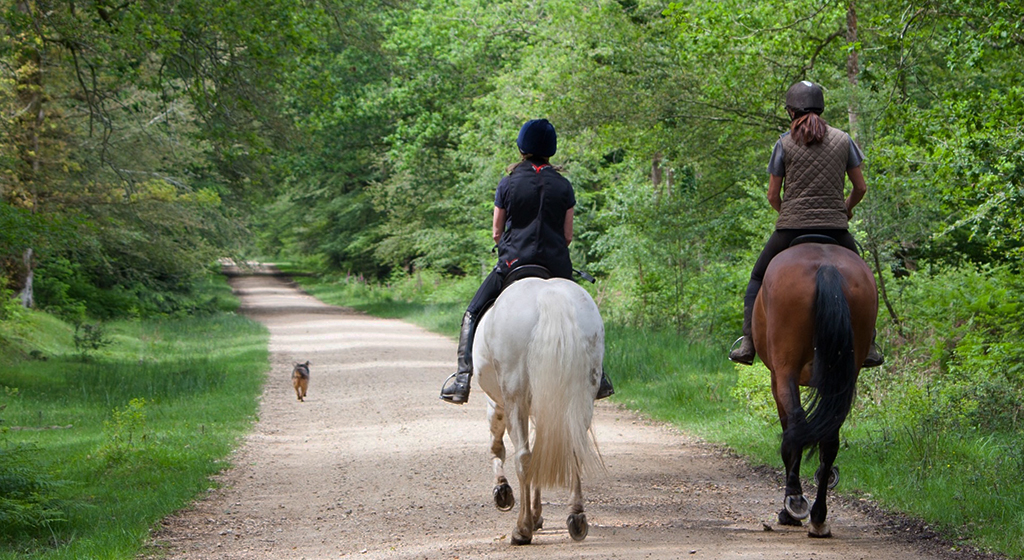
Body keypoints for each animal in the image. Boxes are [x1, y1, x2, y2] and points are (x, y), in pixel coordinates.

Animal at [473, 278, 602, 544]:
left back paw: (522, 529)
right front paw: (536, 513)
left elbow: (496, 446)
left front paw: (503, 491)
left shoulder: (496, 404)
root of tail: (549, 295)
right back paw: (576, 518)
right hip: (581, 397)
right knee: (573, 448)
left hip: (515, 398)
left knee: (523, 457)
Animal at [757, 240, 876, 540]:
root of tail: (827, 267)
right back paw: (819, 516)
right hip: (847, 372)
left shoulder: (776, 377)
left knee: (796, 427)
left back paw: (795, 502)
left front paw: (789, 509)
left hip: (785, 369)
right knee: (830, 439)